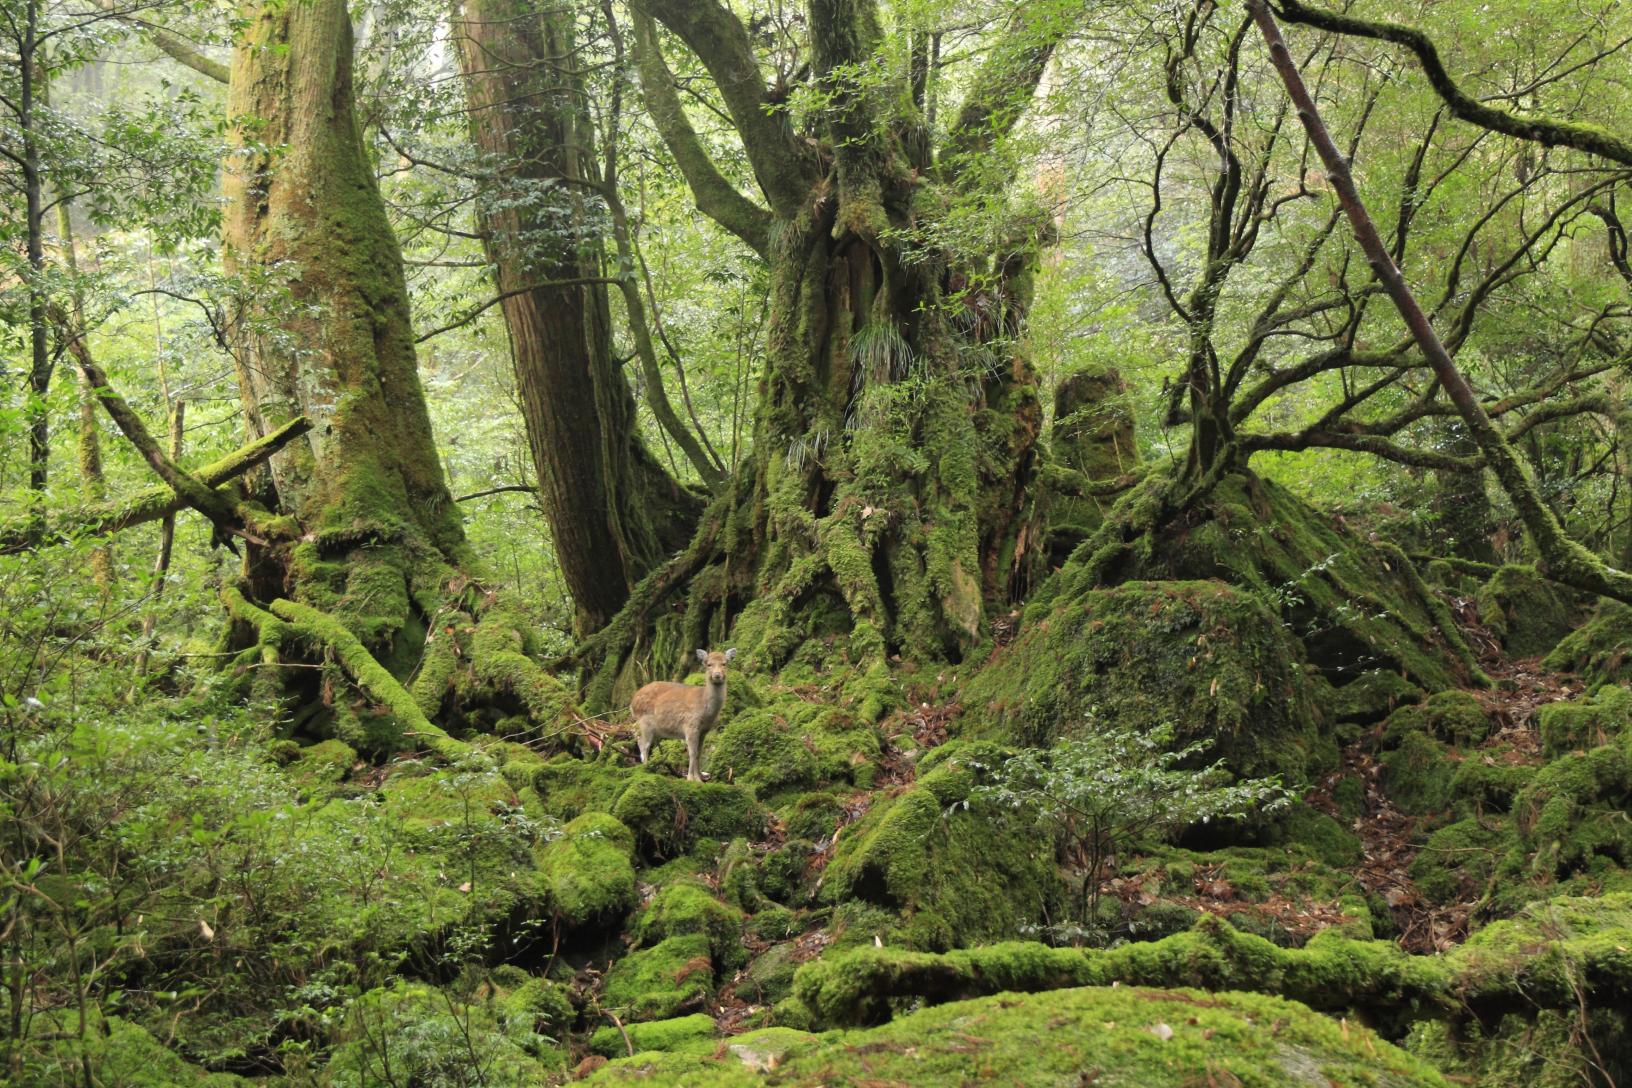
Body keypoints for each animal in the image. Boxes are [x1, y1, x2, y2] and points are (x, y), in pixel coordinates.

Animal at [629, 645, 734, 782]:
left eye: (724, 663)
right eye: (708, 664)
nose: (717, 675)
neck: (705, 711)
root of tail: (632, 702)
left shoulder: (704, 730)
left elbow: (699, 752)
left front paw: (700, 777)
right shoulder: (690, 725)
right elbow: (692, 752)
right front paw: (691, 778)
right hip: (644, 721)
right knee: (643, 744)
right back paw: (646, 769)